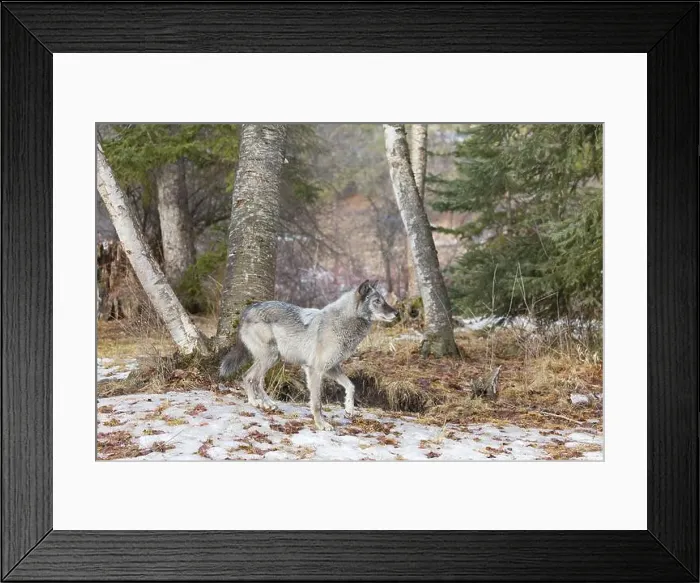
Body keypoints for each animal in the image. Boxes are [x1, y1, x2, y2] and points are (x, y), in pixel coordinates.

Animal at [219, 280, 398, 430]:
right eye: (377, 301)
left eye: (384, 300)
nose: (396, 312)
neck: (343, 323)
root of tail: (247, 310)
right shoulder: (315, 370)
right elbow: (317, 403)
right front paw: (321, 424)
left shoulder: (332, 368)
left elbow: (351, 386)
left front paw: (349, 409)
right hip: (271, 357)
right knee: (251, 377)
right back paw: (259, 402)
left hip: (273, 358)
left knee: (251, 378)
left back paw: (262, 402)